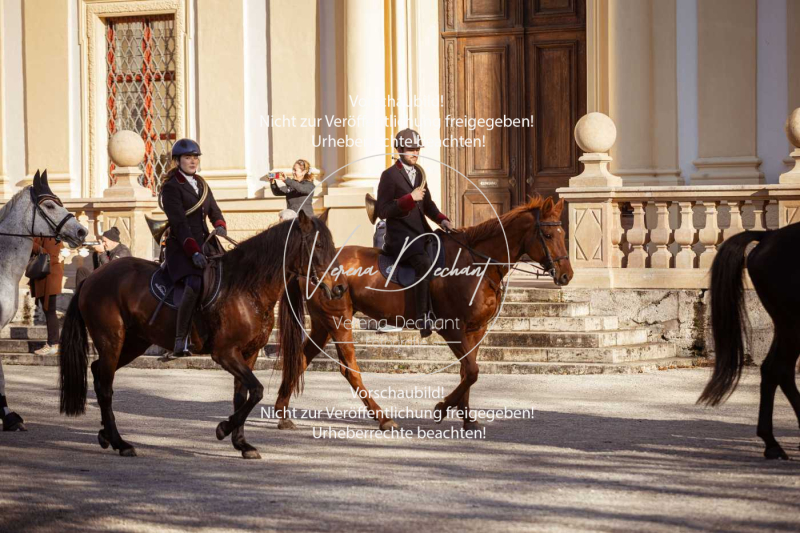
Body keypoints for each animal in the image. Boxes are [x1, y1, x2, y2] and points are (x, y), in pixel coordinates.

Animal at [59, 212, 346, 458]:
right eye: (319, 245)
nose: (340, 288)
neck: (248, 288)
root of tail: (92, 277)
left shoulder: (249, 353)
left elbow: (242, 395)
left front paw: (242, 444)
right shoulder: (225, 353)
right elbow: (257, 391)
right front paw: (223, 429)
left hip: (133, 343)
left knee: (98, 372)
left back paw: (106, 435)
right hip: (112, 341)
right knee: (106, 387)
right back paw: (120, 442)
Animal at [276, 197, 576, 430]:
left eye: (563, 234)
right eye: (548, 235)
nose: (566, 275)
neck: (476, 264)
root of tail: (308, 268)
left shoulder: (476, 329)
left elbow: (467, 372)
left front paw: (467, 418)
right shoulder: (452, 329)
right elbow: (472, 371)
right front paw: (442, 408)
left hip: (323, 324)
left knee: (300, 360)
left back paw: (282, 411)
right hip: (338, 321)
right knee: (349, 369)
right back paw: (383, 418)